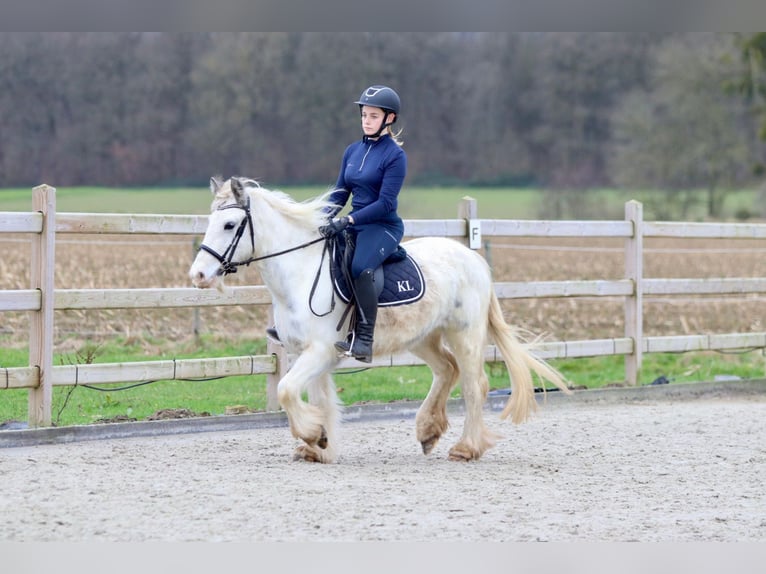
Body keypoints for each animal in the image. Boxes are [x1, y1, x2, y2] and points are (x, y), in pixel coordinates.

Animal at [188, 178, 568, 466]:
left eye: (229, 225)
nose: (198, 276)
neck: (300, 272)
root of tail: (472, 258)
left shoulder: (321, 351)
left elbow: (285, 390)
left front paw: (313, 435)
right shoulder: (308, 353)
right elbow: (317, 398)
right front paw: (320, 447)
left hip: (466, 334)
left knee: (475, 385)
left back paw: (465, 448)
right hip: (422, 337)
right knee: (447, 369)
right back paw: (428, 431)